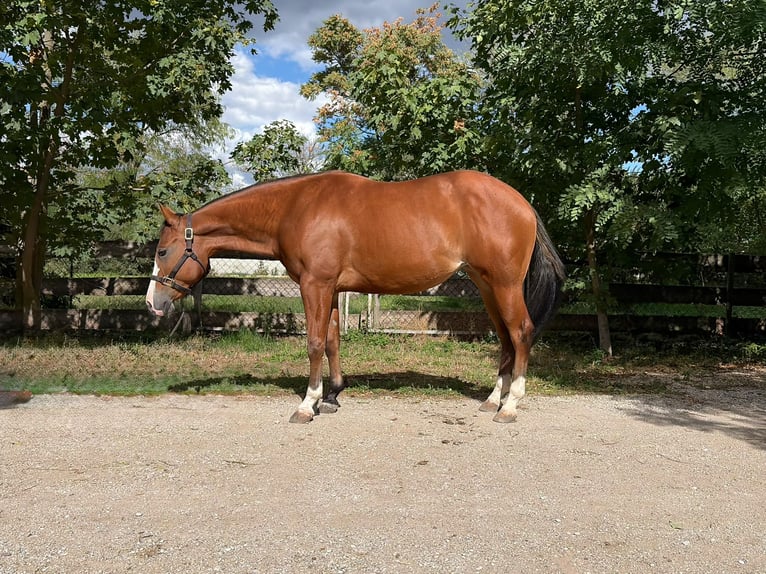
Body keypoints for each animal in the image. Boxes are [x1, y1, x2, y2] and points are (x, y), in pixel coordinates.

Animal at [146, 170, 565, 423]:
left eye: (163, 251)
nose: (153, 303)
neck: (296, 207)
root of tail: (522, 203)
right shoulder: (330, 288)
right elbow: (332, 341)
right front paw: (331, 396)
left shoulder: (314, 284)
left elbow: (315, 343)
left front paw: (307, 404)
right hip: (486, 285)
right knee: (505, 339)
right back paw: (493, 399)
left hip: (505, 284)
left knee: (521, 332)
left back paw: (510, 405)